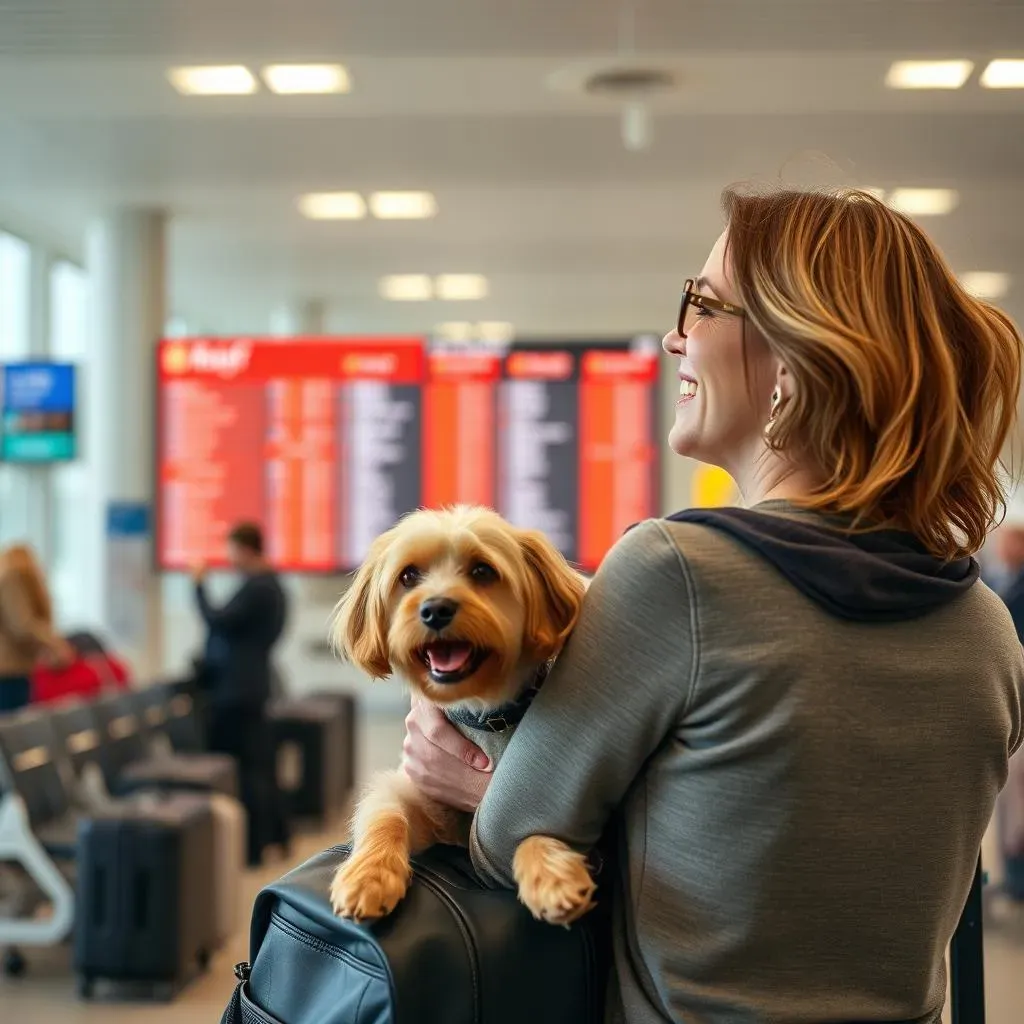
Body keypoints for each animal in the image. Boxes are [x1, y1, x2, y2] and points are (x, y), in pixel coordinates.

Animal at [327, 503, 598, 929]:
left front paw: (551, 874)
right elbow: (386, 813)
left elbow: (527, 819)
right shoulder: (414, 791)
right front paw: (368, 876)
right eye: (409, 576)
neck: (485, 714)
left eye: (483, 571)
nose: (435, 609)